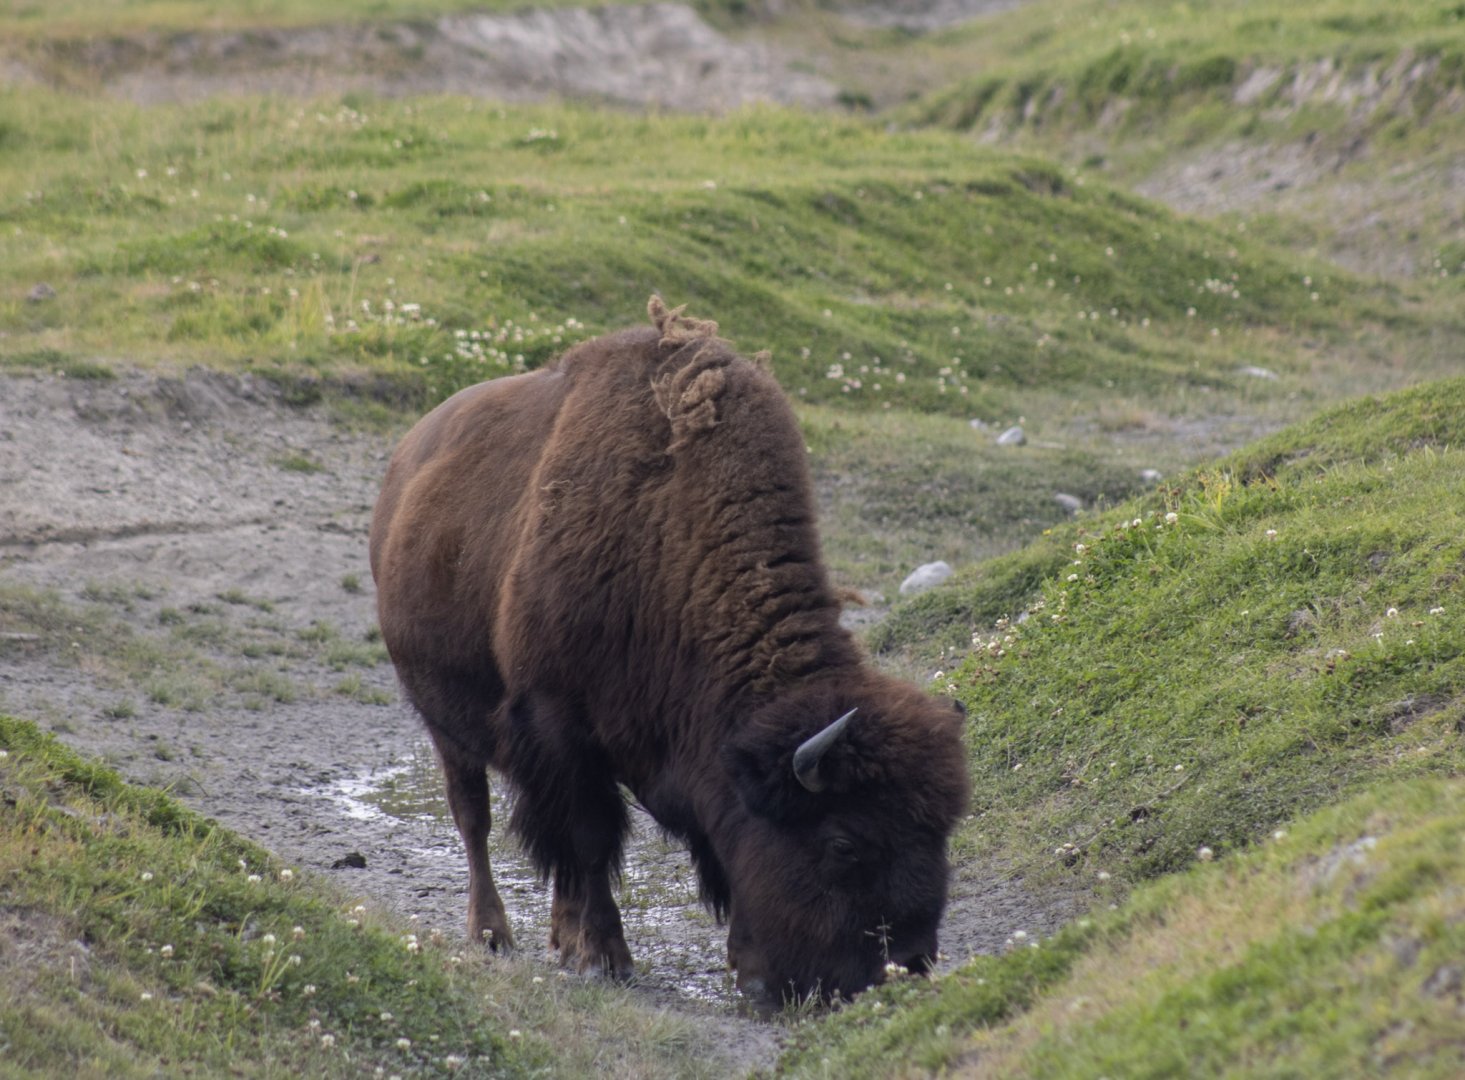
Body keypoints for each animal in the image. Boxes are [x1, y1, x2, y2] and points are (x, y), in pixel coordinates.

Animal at [369, 297, 969, 1005]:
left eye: (942, 830)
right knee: (474, 819)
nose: (906, 964)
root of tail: (406, 461)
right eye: (843, 842)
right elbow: (590, 839)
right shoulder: (558, 725)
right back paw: (493, 934)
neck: (666, 542)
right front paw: (607, 957)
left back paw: (556, 936)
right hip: (444, 723)